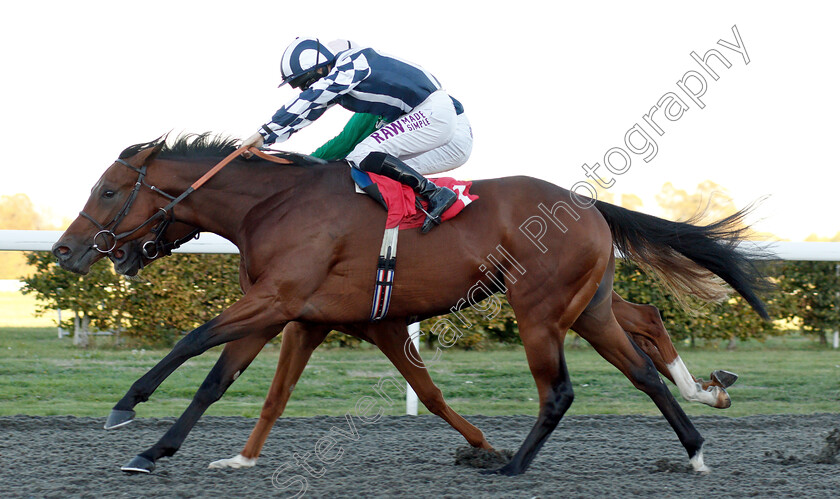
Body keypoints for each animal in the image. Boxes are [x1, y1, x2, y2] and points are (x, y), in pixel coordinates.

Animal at [50, 135, 768, 474]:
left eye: (108, 190)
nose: (64, 250)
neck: (272, 203)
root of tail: (589, 205)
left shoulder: (276, 299)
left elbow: (193, 341)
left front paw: (126, 408)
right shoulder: (292, 312)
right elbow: (237, 385)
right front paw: (194, 454)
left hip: (541, 309)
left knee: (563, 389)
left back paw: (516, 466)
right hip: (588, 306)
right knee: (643, 357)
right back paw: (696, 441)